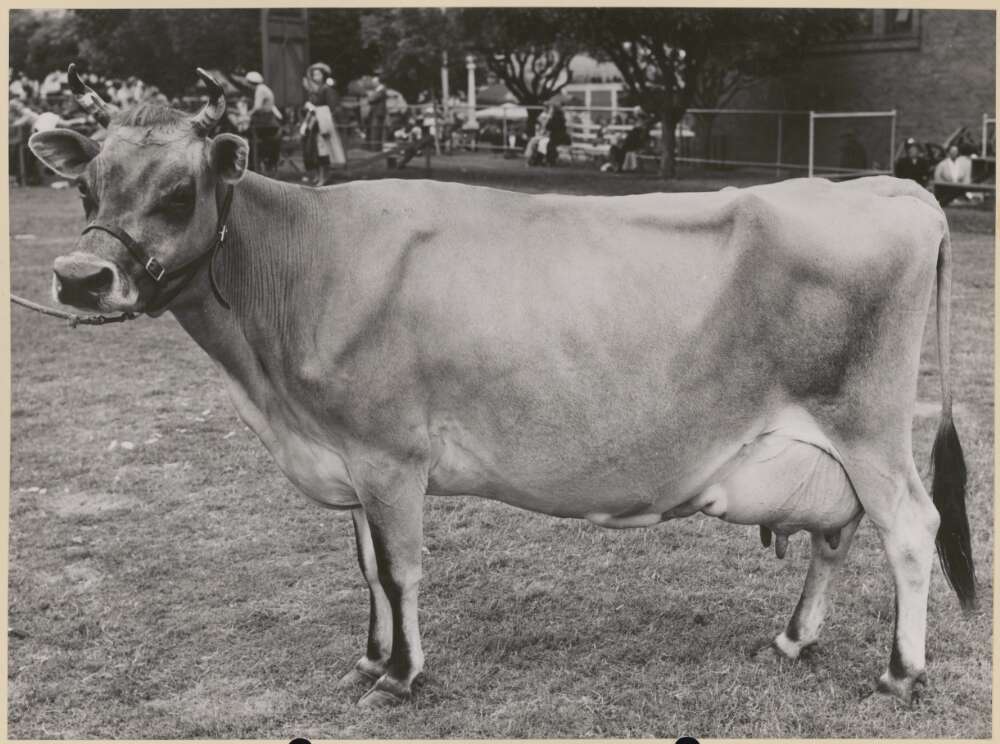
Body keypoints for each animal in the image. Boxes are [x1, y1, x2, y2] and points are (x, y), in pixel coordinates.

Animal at [29, 66, 975, 708]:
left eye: (180, 191)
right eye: (85, 185)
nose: (80, 278)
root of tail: (896, 189)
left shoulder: (387, 453)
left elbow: (399, 568)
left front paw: (401, 674)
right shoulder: (350, 456)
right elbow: (366, 566)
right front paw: (370, 655)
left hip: (868, 426)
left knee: (910, 528)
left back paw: (901, 671)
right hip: (828, 445)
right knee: (836, 534)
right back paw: (793, 638)